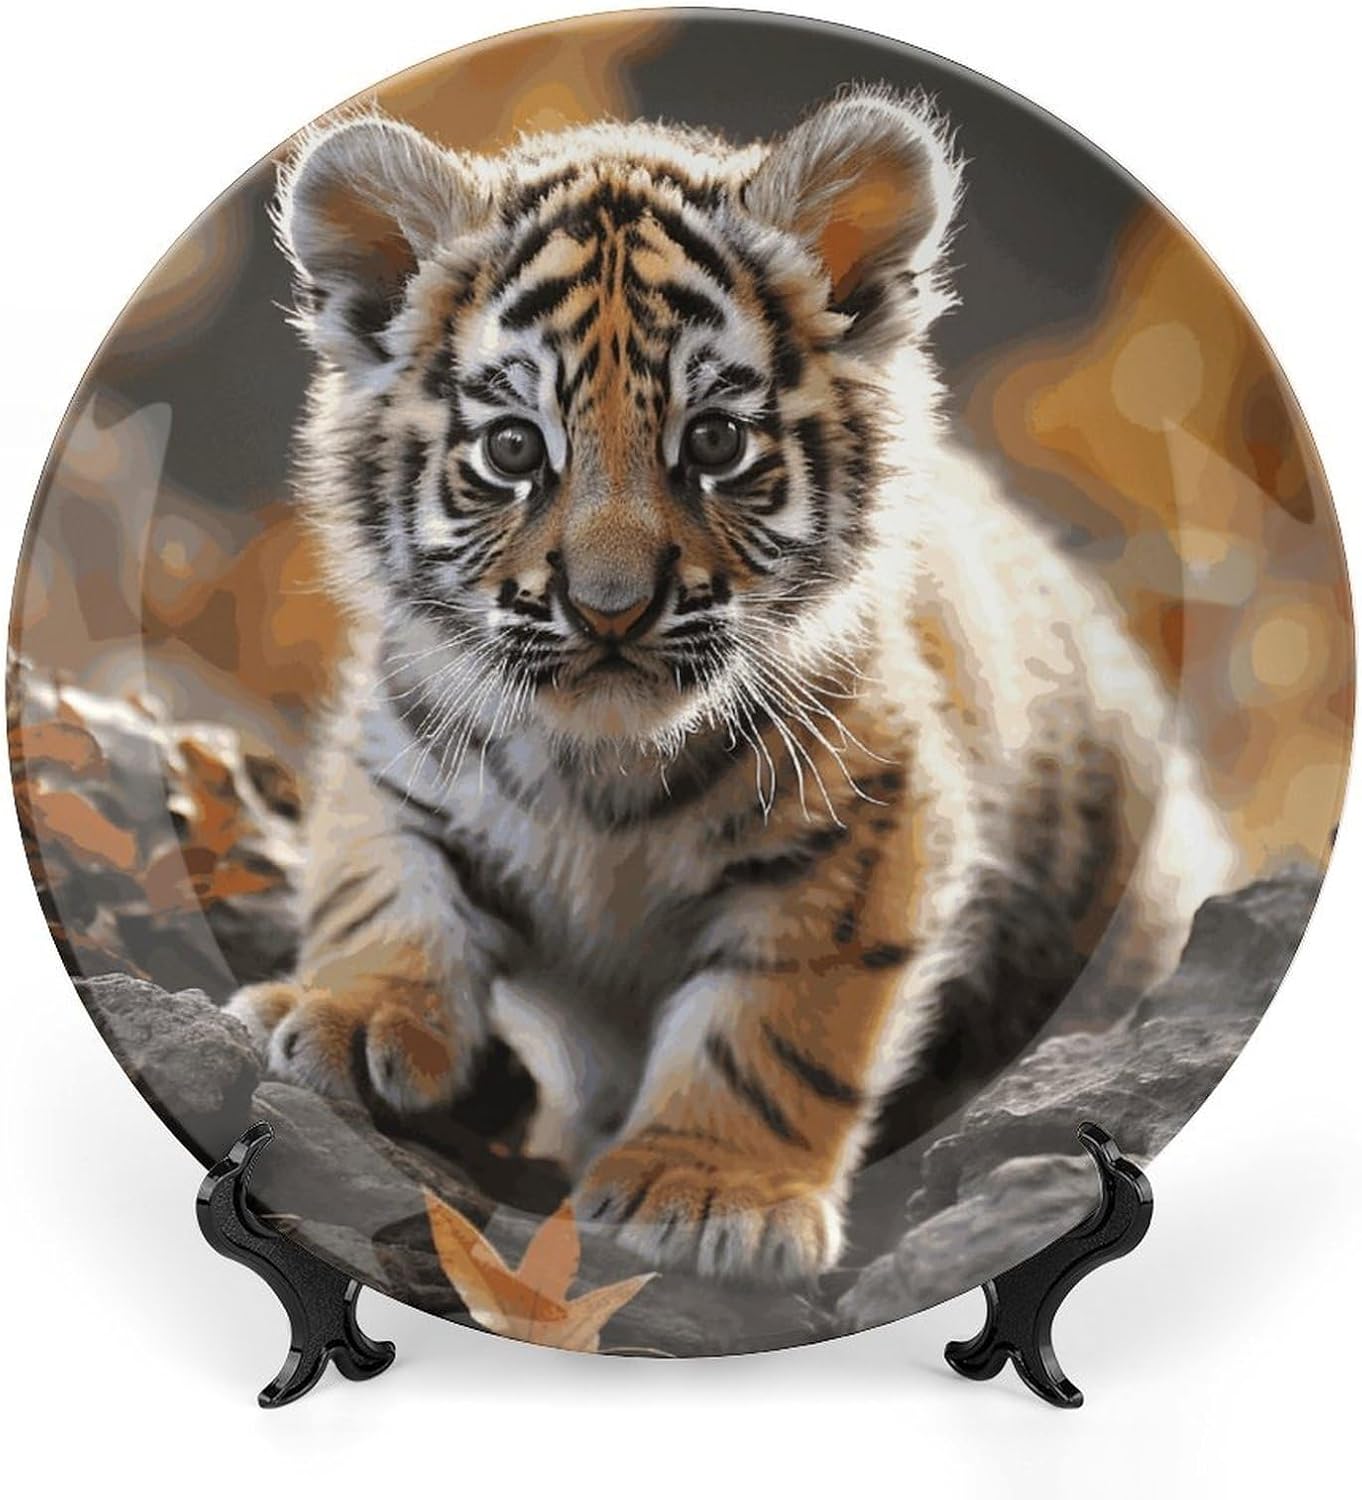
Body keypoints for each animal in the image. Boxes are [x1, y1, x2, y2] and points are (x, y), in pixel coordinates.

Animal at [226, 87, 1237, 1283]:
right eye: (515, 449)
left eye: (711, 440)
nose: (610, 608)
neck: (601, 761)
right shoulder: (401, 742)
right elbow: (381, 885)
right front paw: (341, 1012)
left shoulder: (869, 824)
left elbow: (773, 1030)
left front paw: (709, 1190)